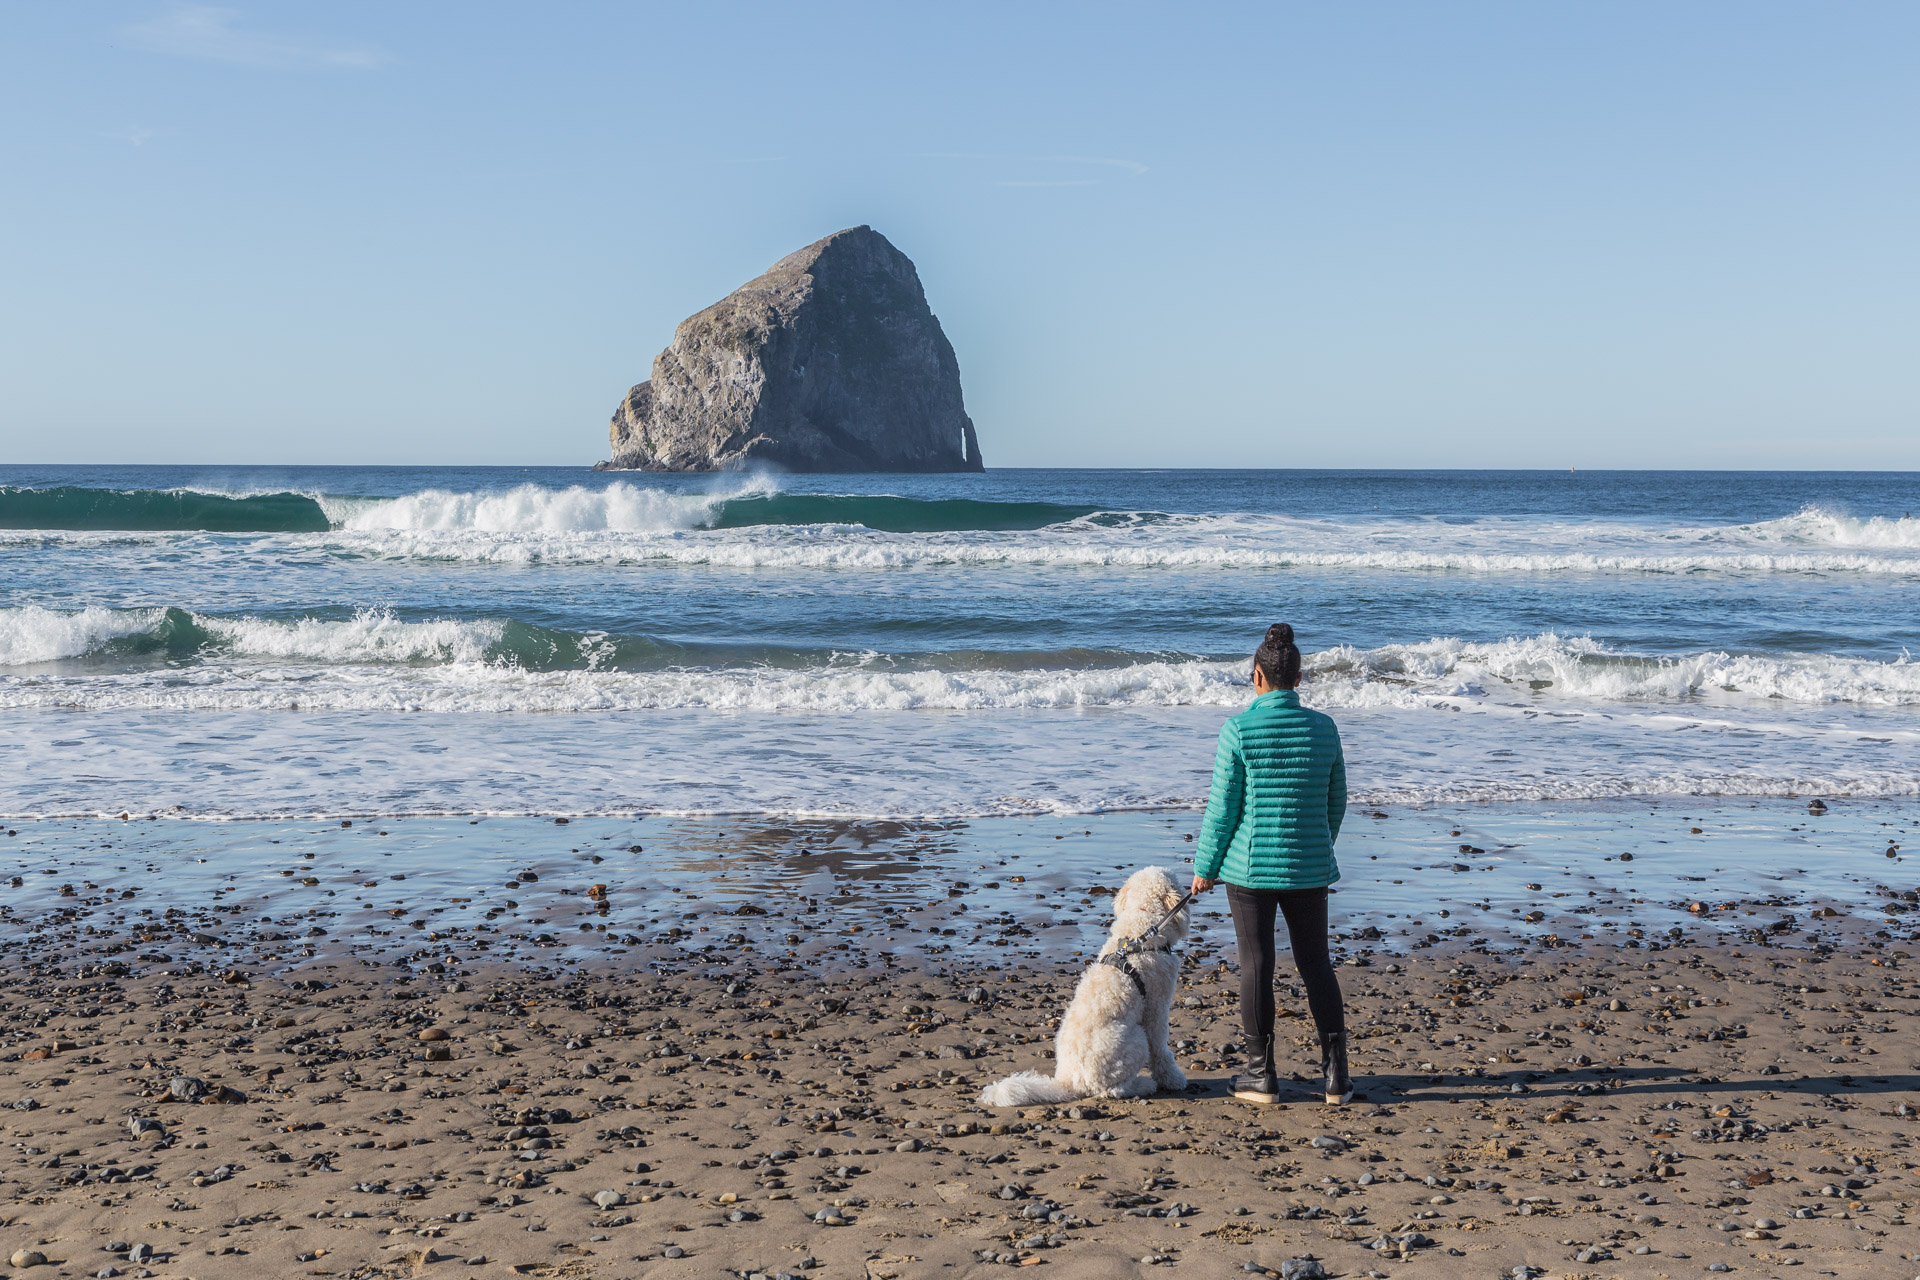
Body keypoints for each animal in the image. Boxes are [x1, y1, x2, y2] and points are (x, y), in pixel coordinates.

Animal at [983, 871, 1190, 1113]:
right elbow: (1160, 1050)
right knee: (1112, 1090)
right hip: (1136, 1039)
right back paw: (1143, 1085)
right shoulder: (1156, 1007)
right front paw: (1172, 1079)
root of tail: (1068, 1083)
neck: (1140, 926)